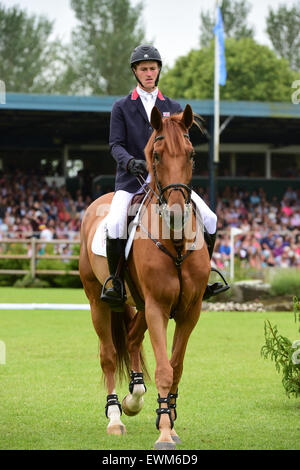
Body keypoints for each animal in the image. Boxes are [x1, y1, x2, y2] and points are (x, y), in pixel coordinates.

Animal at [79, 104, 211, 450]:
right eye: (156, 156)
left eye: (192, 155)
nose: (177, 215)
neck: (175, 244)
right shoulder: (157, 307)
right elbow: (164, 368)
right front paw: (164, 432)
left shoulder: (190, 311)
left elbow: (176, 366)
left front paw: (170, 421)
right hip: (98, 300)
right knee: (109, 354)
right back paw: (115, 416)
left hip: (139, 304)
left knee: (132, 339)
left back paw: (134, 397)